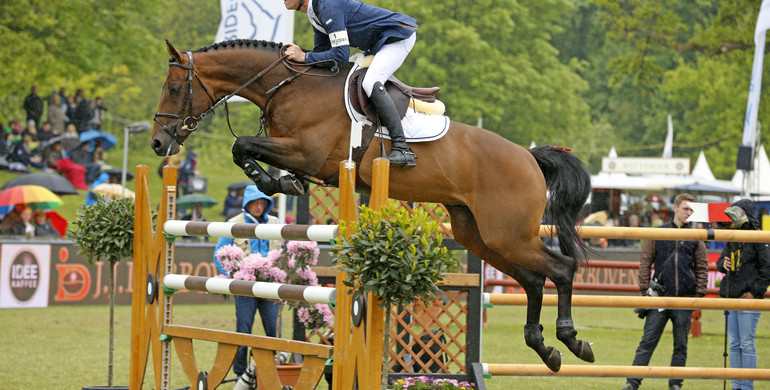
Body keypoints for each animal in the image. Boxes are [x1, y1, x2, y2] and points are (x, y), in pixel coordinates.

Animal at [152, 39, 592, 372]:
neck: (289, 86)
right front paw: (280, 181)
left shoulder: (308, 153)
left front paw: (272, 181)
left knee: (561, 268)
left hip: (508, 233)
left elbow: (242, 144)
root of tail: (529, 157)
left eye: (173, 88)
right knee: (533, 279)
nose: (158, 143)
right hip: (480, 236)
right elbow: (243, 147)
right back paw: (546, 349)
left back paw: (572, 339)